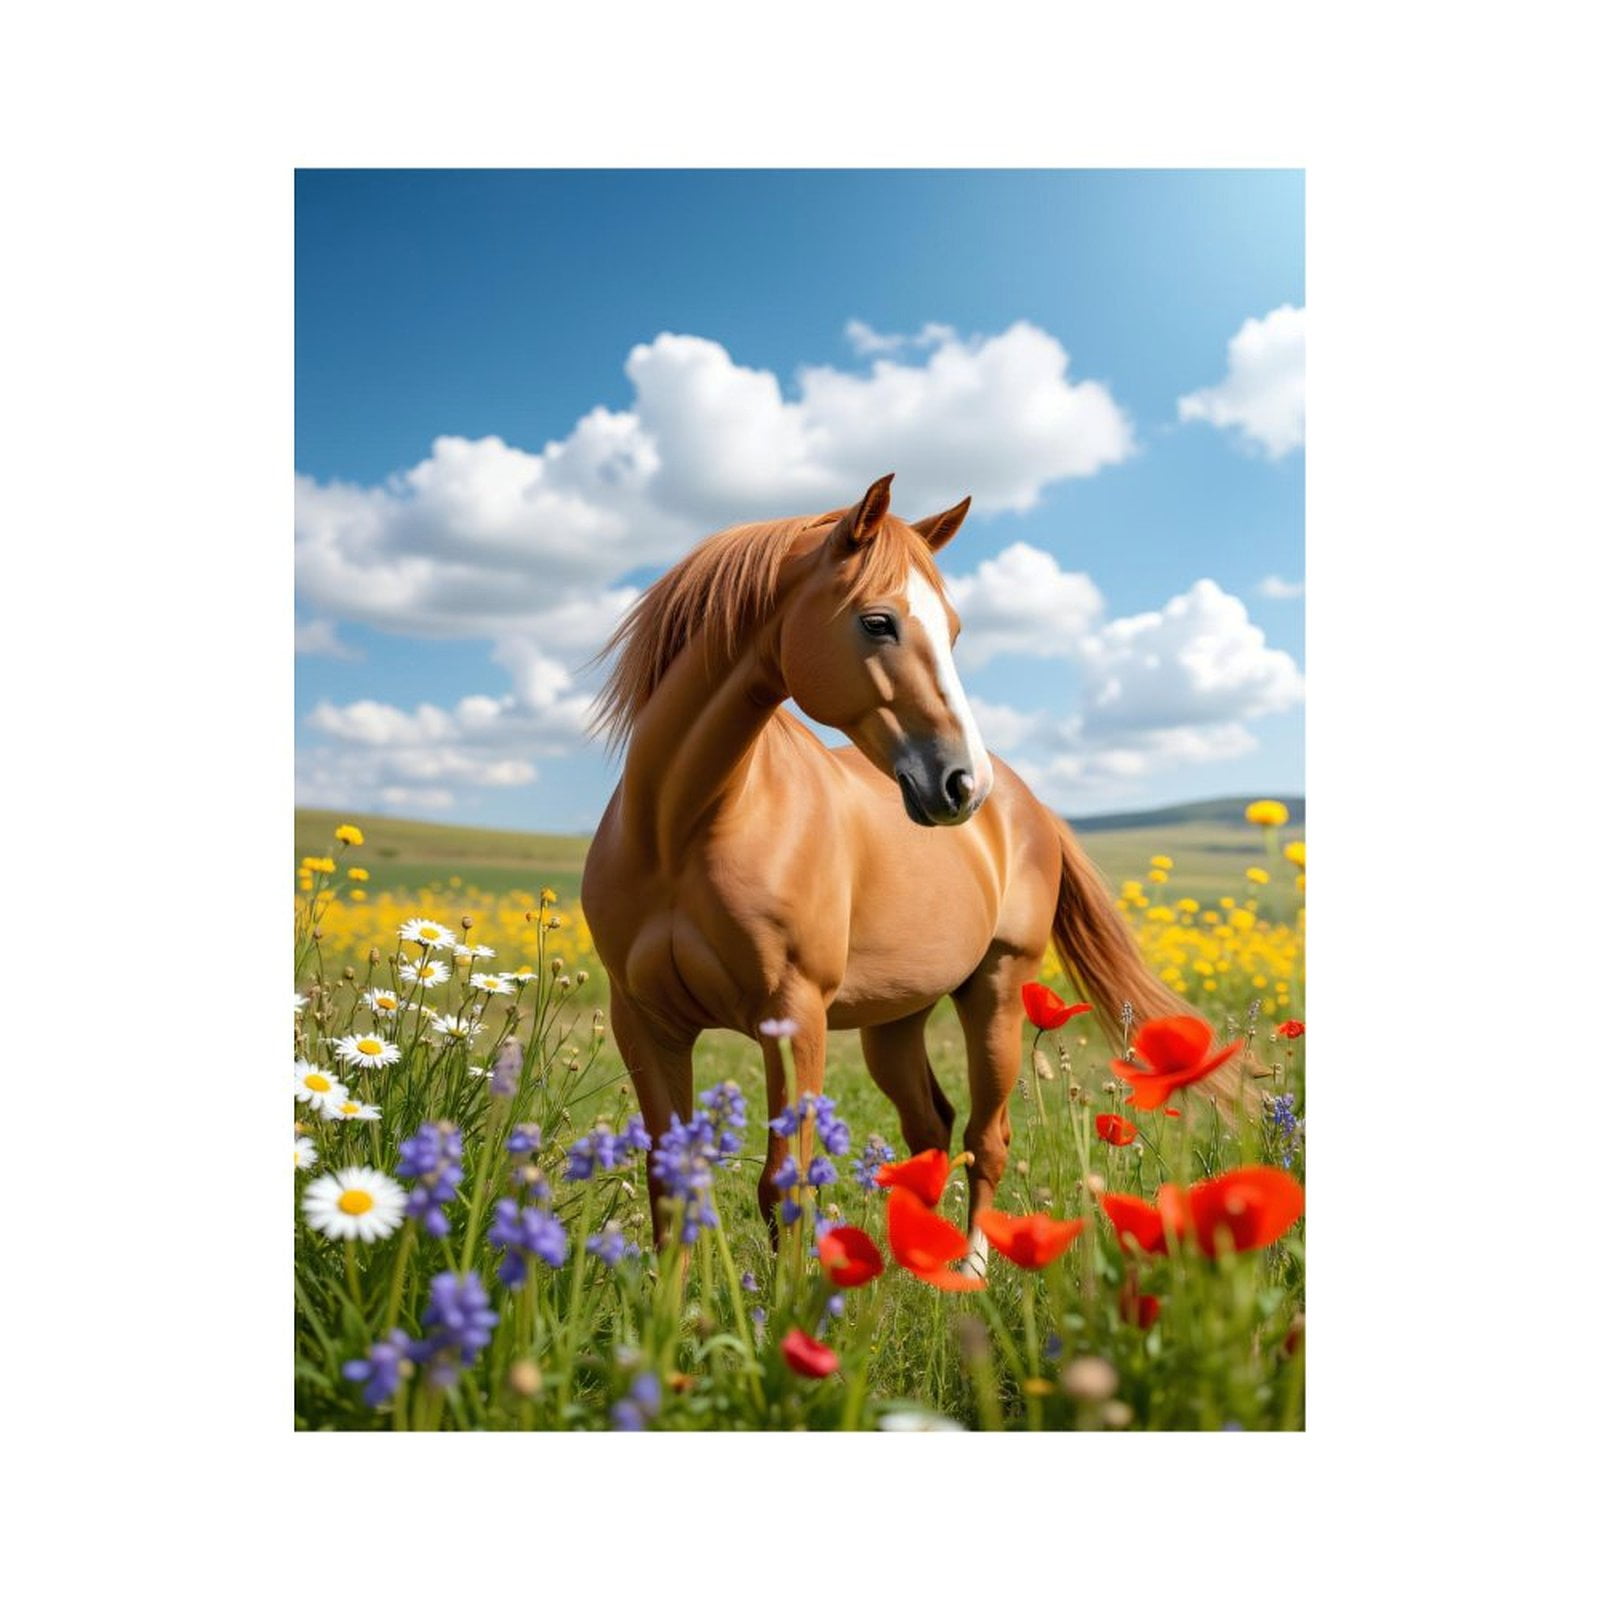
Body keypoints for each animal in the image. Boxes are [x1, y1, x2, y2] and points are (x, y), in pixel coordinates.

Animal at [581, 473, 1187, 1275]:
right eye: (878, 622)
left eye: (954, 630)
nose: (963, 784)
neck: (680, 830)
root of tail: (1026, 804)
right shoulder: (643, 1021)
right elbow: (665, 1177)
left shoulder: (794, 1017)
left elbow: (786, 1181)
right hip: (896, 1022)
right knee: (931, 1126)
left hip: (996, 995)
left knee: (986, 1138)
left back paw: (970, 1269)